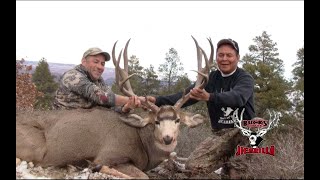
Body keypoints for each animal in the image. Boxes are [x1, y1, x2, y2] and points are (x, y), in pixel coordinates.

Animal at [16, 36, 214, 179]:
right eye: (156, 122)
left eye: (178, 120)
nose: (167, 138)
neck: (141, 142)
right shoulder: (109, 153)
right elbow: (140, 175)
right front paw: (91, 167)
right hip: (35, 146)